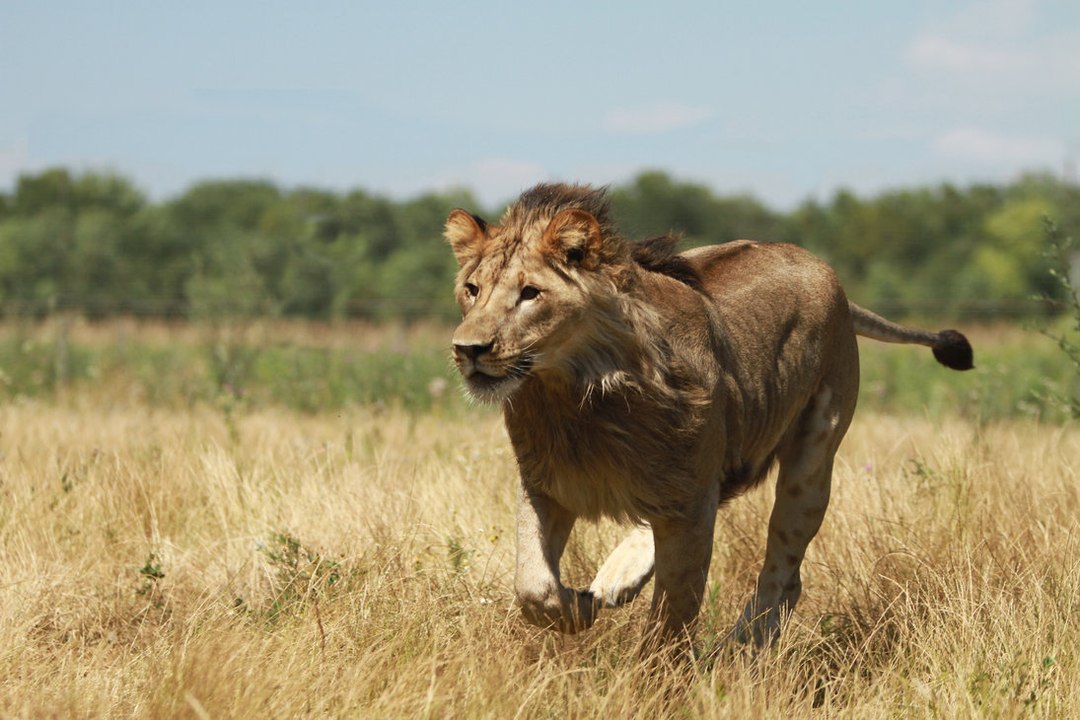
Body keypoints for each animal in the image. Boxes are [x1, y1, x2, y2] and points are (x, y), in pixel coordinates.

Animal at [445, 183, 972, 648]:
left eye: (530, 293)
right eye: (472, 289)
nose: (467, 349)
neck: (576, 398)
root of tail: (825, 270)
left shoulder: (690, 507)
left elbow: (673, 615)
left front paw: (658, 678)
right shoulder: (545, 483)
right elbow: (533, 587)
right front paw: (579, 608)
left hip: (810, 466)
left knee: (784, 574)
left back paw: (740, 646)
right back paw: (617, 580)